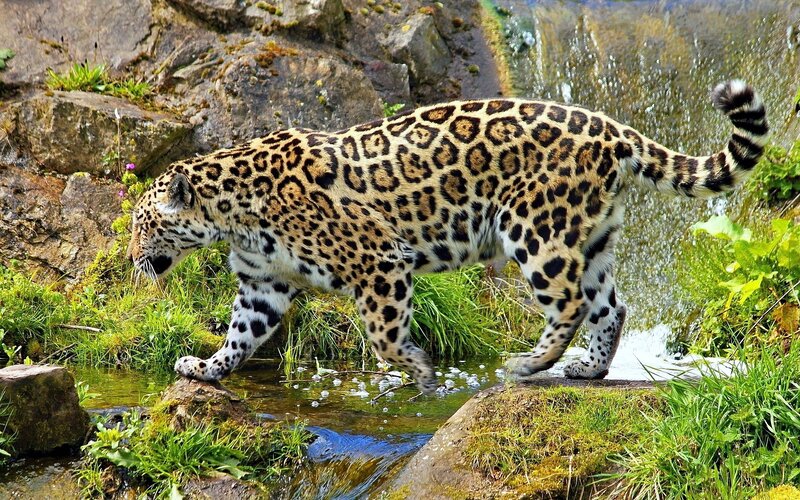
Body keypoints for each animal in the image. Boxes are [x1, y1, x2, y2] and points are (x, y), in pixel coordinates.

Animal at [127, 80, 768, 393]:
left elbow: (383, 336)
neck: (231, 213)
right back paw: (587, 370)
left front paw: (419, 371)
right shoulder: (263, 285)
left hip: (535, 228)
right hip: (592, 238)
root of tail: (613, 128)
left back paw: (528, 365)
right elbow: (240, 335)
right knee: (611, 304)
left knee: (568, 302)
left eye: (141, 226)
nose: (133, 261)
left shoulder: (380, 260)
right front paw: (206, 369)